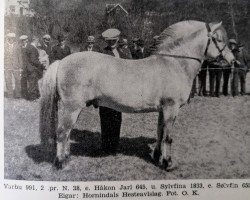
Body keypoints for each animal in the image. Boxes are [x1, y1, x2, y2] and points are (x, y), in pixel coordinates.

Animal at [39, 20, 234, 170]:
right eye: (218, 39)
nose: (232, 60)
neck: (174, 63)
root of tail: (62, 62)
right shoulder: (171, 108)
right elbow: (168, 137)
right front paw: (168, 163)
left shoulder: (163, 110)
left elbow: (159, 132)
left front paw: (156, 157)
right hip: (70, 108)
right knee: (62, 132)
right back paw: (61, 163)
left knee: (67, 133)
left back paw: (67, 158)